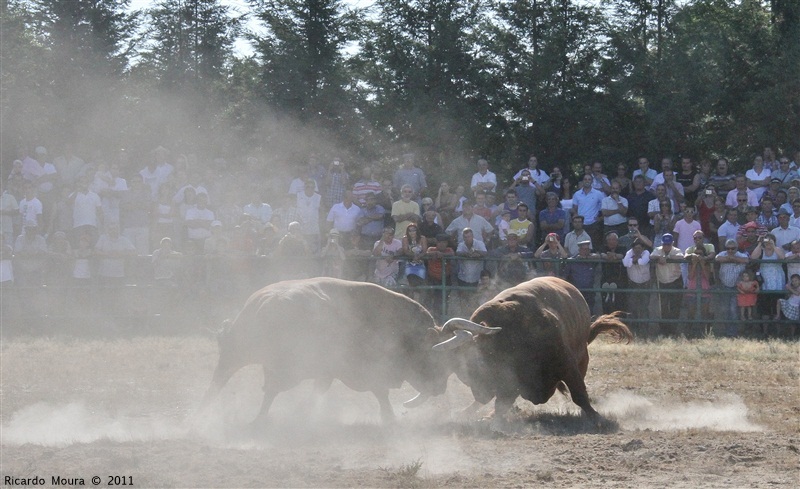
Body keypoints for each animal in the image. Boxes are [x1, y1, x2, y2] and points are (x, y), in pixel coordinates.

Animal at [434, 276, 636, 422]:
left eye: (473, 362)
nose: (480, 393)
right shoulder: (510, 381)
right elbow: (502, 403)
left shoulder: (567, 365)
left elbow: (579, 394)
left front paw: (597, 417)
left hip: (582, 358)